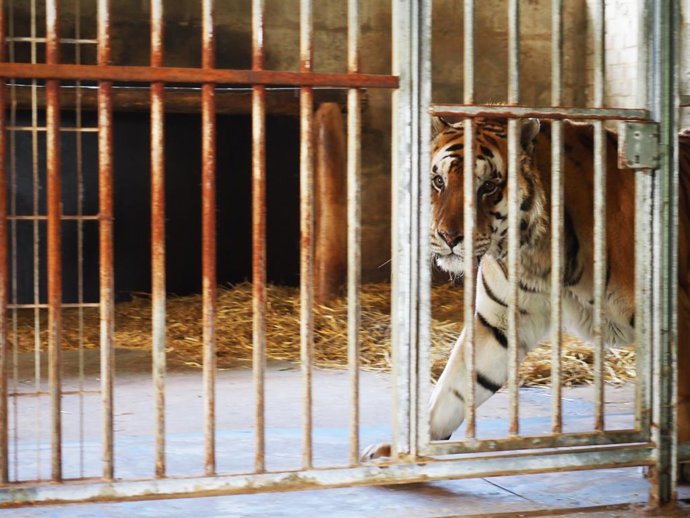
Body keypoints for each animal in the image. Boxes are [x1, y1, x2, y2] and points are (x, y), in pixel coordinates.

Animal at [361, 117, 690, 468]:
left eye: (488, 187)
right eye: (438, 181)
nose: (449, 237)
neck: (534, 252)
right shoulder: (500, 321)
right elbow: (455, 387)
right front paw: (401, 454)